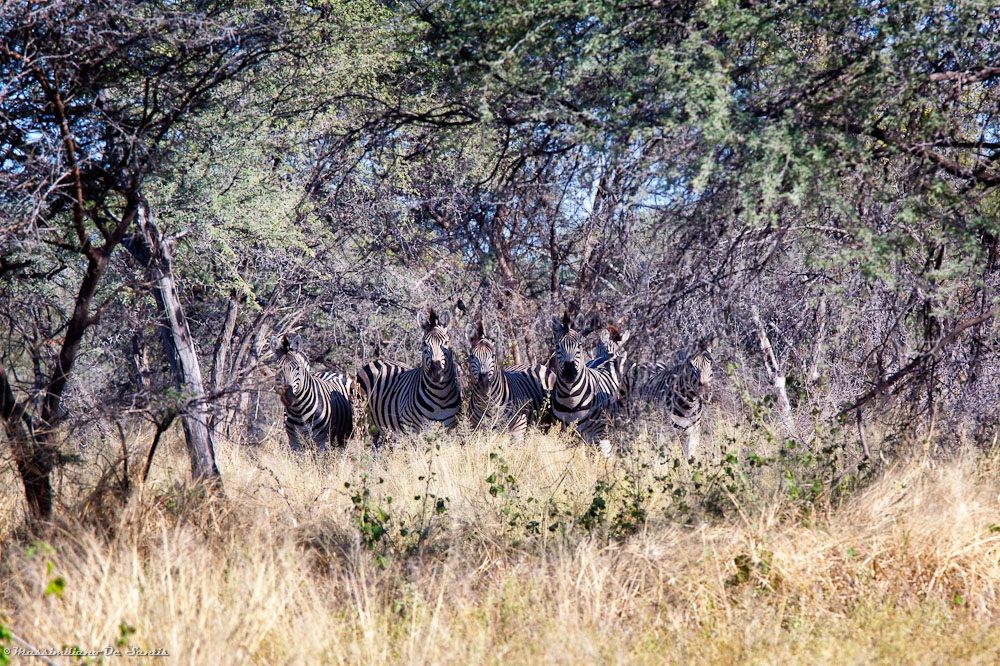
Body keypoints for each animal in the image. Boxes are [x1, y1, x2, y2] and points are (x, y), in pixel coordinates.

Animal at [356, 307, 462, 443]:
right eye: (424, 344)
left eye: (446, 343)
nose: (436, 371)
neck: (440, 396)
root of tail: (378, 360)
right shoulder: (412, 429)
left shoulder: (449, 429)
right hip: (361, 417)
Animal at [550, 313, 629, 448]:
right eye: (557, 346)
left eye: (579, 346)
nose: (569, 373)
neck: (570, 401)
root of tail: (609, 355)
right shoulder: (562, 433)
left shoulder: (597, 435)